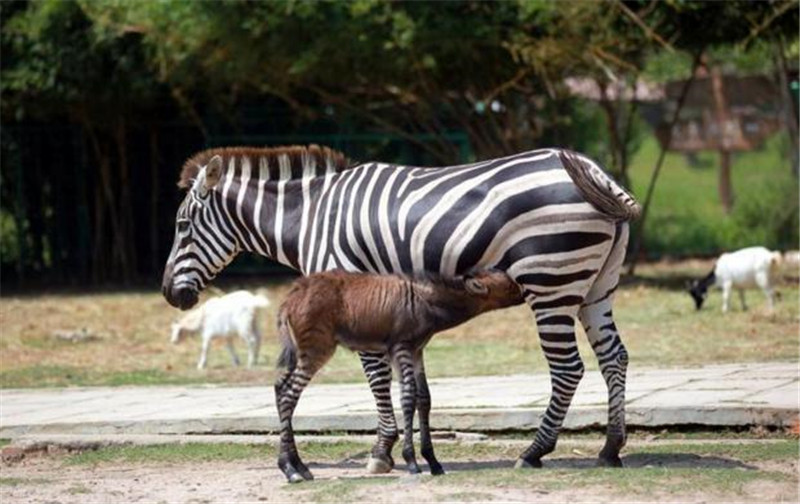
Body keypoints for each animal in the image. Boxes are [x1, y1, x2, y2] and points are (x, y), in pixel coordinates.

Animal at [161, 143, 636, 476]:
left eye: (183, 227)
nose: (168, 294)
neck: (309, 218)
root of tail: (597, 173)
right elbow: (408, 386)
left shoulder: (354, 291)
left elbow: (376, 379)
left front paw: (381, 452)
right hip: (596, 287)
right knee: (614, 358)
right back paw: (610, 448)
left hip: (551, 280)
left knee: (568, 368)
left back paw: (534, 452)